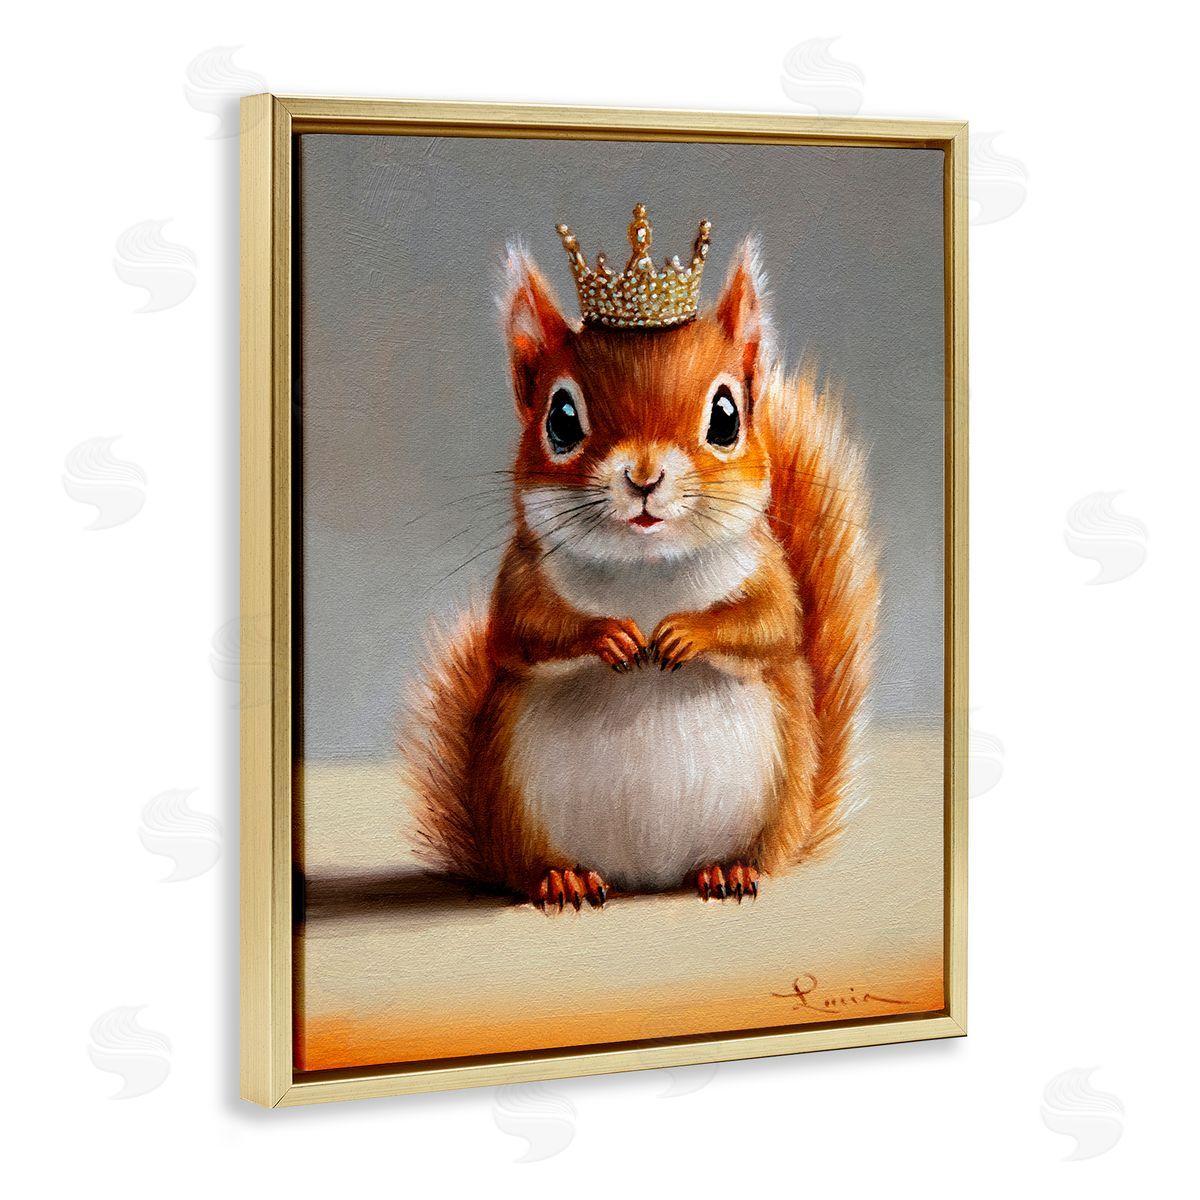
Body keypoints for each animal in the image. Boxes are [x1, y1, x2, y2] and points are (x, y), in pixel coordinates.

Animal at [403, 207, 879, 910]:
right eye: (561, 419)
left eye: (727, 415)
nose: (644, 476)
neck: (647, 570)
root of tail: (645, 877)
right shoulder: (520, 577)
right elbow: (521, 631)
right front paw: (610, 635)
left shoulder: (769, 572)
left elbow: (770, 624)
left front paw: (685, 634)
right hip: (513, 803)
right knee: (532, 868)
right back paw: (564, 878)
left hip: (776, 797)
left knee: (757, 856)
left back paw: (729, 870)